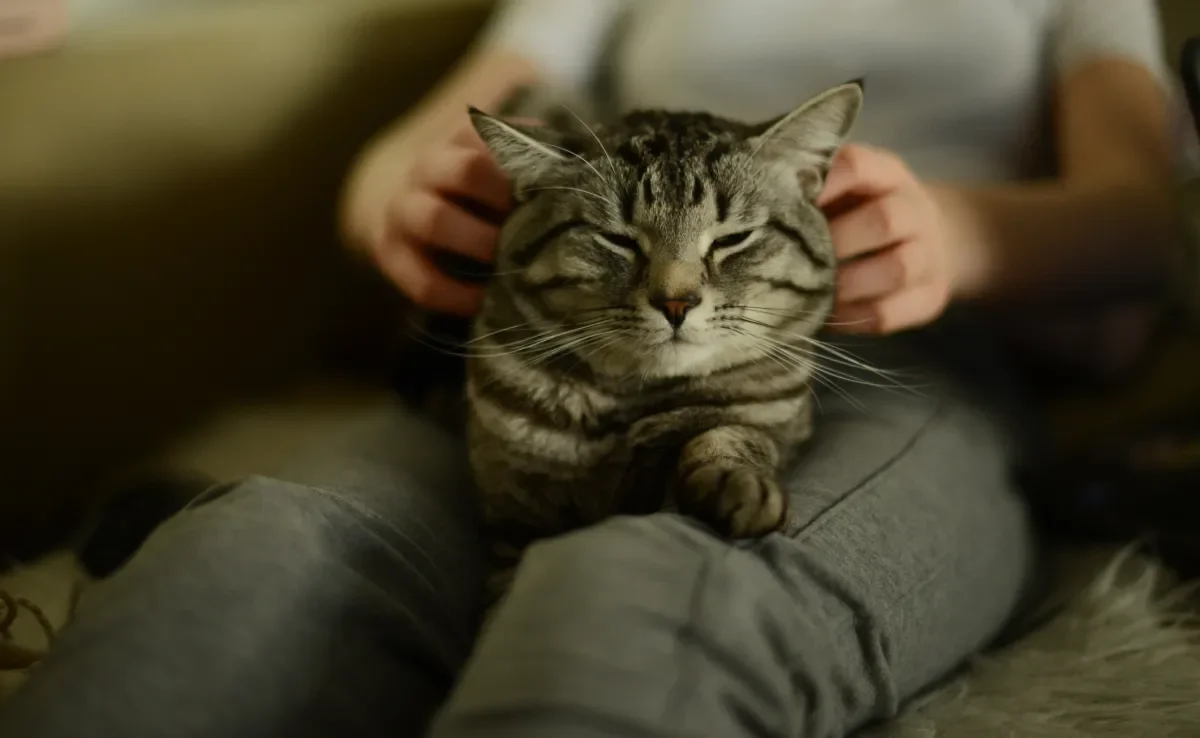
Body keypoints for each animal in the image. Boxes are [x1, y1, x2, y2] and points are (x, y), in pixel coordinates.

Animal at [463, 82, 868, 595]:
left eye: (732, 239)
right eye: (618, 239)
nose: (676, 303)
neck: (629, 405)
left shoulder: (771, 420)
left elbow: (729, 435)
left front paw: (735, 483)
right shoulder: (512, 515)